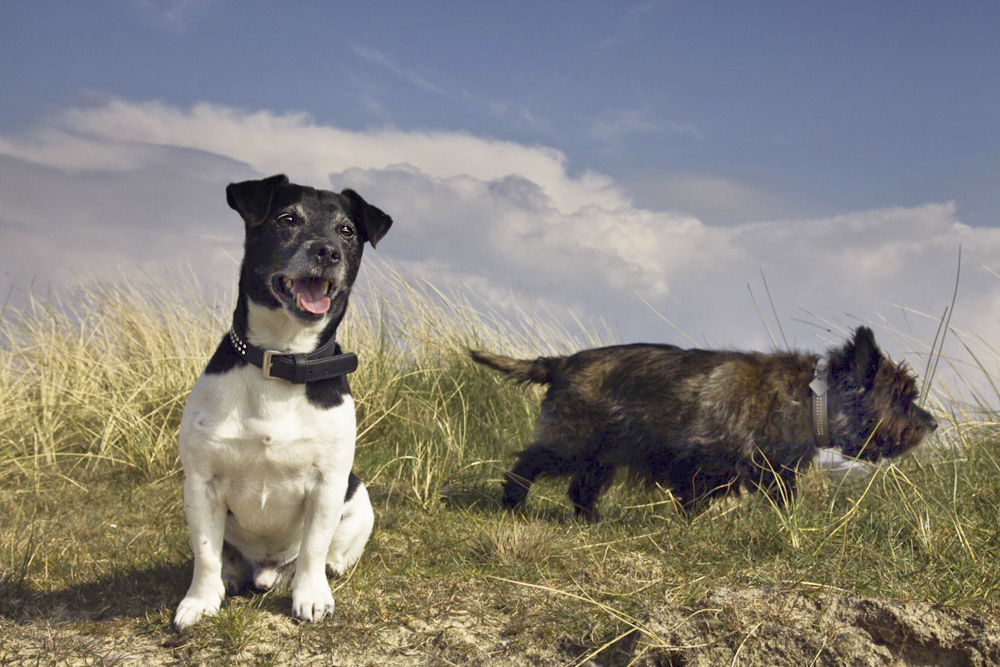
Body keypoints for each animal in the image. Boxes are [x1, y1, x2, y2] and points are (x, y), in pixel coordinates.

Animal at [174, 172, 392, 632]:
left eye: (347, 230)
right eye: (288, 219)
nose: (327, 251)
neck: (283, 358)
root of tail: (267, 570)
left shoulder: (328, 483)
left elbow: (312, 548)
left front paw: (311, 597)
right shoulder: (201, 483)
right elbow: (205, 552)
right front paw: (200, 601)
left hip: (359, 496)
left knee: (330, 551)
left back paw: (327, 569)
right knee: (226, 556)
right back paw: (233, 575)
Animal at [468, 328, 936, 520]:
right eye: (903, 397)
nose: (931, 423)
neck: (812, 398)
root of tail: (561, 363)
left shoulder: (775, 472)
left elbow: (783, 501)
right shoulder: (701, 464)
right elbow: (692, 500)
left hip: (601, 457)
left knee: (581, 491)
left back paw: (592, 521)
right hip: (571, 444)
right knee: (526, 464)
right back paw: (513, 503)